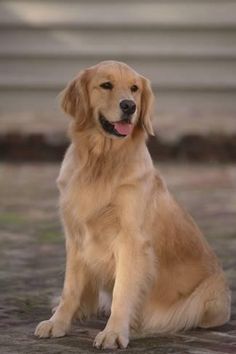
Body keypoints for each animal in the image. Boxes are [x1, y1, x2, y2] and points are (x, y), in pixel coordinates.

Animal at [35, 60, 230, 348]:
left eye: (135, 89)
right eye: (106, 85)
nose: (129, 106)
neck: (101, 162)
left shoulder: (131, 241)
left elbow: (122, 292)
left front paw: (114, 332)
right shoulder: (76, 236)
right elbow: (70, 289)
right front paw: (58, 322)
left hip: (208, 299)